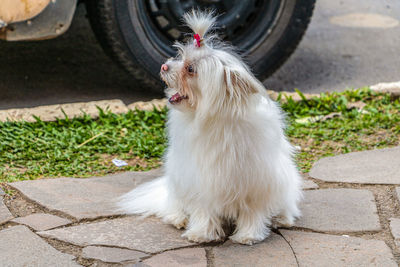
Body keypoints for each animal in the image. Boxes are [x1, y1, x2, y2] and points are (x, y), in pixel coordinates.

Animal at [117, 10, 302, 246]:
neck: (215, 120)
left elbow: (252, 212)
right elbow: (203, 209)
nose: (164, 66)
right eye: (179, 56)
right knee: (174, 204)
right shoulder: (201, 179)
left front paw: (248, 235)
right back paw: (178, 218)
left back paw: (282, 217)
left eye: (190, 69)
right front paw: (201, 233)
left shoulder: (256, 181)